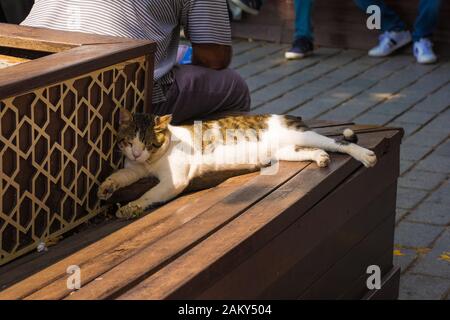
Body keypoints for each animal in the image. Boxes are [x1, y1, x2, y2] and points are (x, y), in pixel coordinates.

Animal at [98, 109, 376, 219]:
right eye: (129, 141)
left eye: (147, 143)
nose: (136, 153)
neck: (150, 163)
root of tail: (291, 116)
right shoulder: (135, 169)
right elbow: (120, 175)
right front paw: (106, 187)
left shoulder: (173, 181)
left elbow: (148, 194)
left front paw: (130, 207)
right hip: (287, 151)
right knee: (316, 150)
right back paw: (320, 158)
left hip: (305, 137)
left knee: (341, 143)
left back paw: (366, 156)